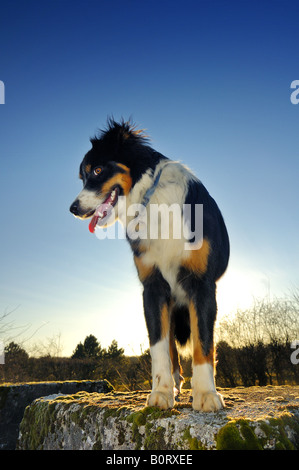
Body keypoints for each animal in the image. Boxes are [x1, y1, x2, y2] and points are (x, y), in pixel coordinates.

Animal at [70, 118, 230, 412]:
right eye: (83, 177)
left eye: (97, 170)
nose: (73, 209)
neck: (152, 200)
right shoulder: (153, 288)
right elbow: (159, 346)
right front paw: (162, 392)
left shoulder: (201, 285)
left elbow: (203, 343)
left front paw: (206, 393)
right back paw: (175, 383)